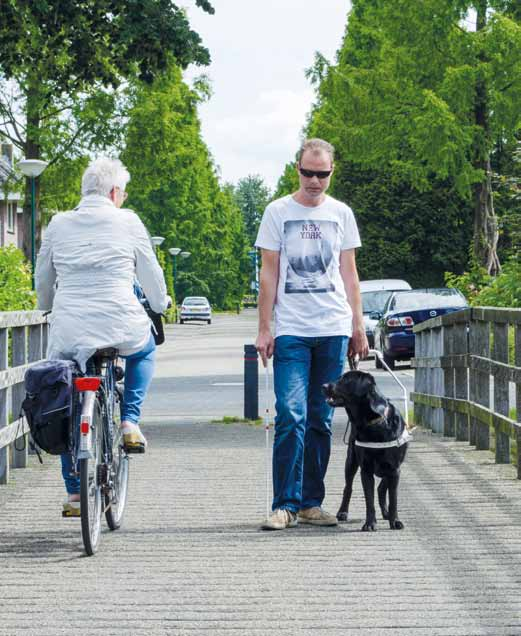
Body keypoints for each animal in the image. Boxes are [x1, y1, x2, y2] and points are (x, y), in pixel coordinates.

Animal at [322, 368, 408, 532]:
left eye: (345, 380)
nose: (323, 385)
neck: (375, 423)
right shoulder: (366, 469)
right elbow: (369, 499)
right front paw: (370, 523)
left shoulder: (395, 469)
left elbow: (393, 498)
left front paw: (395, 521)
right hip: (351, 461)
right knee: (348, 488)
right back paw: (342, 512)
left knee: (382, 488)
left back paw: (386, 513)